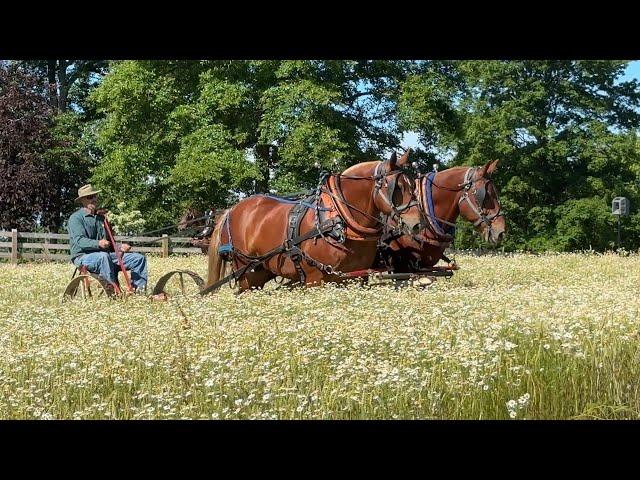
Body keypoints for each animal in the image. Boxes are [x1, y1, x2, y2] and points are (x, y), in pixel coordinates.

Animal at [205, 151, 424, 292]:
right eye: (396, 187)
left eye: (413, 186)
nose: (417, 224)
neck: (339, 220)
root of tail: (231, 210)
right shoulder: (315, 280)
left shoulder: (356, 278)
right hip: (246, 273)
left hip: (262, 271)